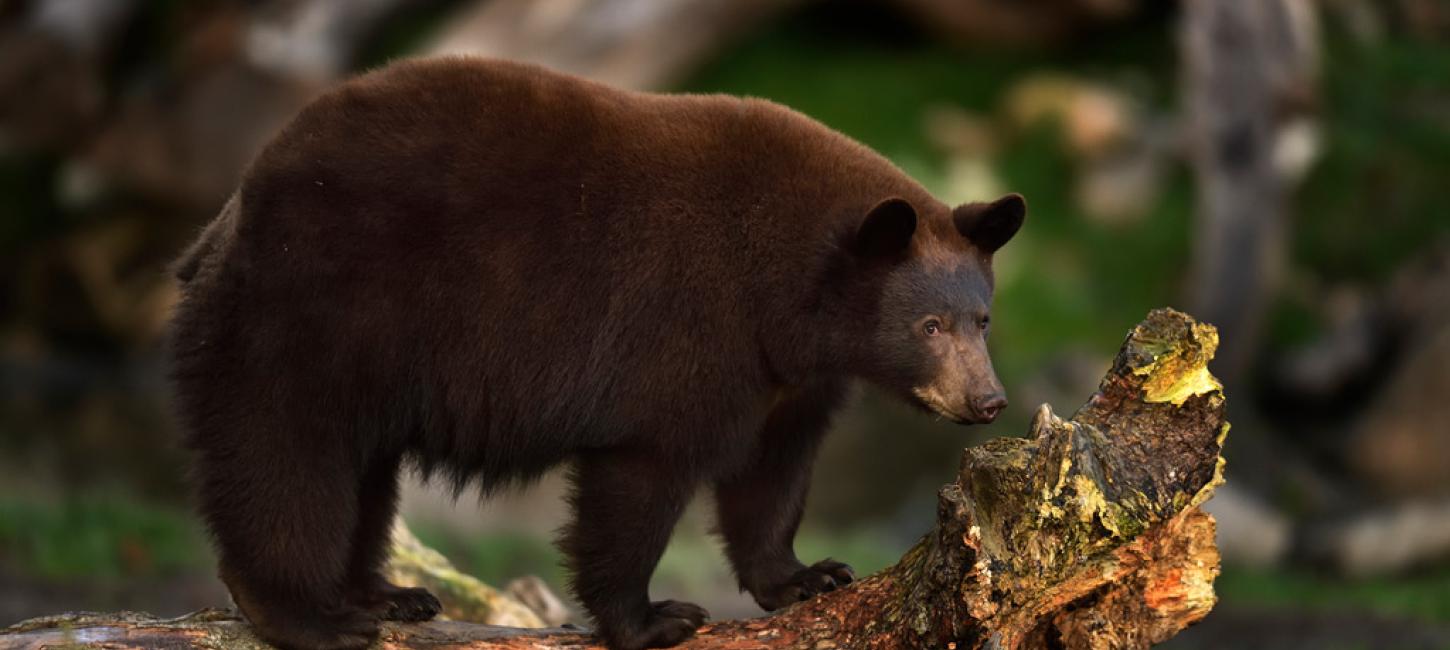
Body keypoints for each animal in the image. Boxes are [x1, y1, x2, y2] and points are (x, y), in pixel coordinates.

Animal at [169, 57, 1026, 650]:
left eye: (982, 319)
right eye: (929, 327)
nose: (988, 401)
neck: (790, 288)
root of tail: (228, 213)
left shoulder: (786, 375)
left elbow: (771, 470)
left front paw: (806, 576)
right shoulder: (688, 324)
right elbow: (644, 472)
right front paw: (655, 618)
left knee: (361, 469)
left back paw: (384, 596)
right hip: (313, 310)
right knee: (288, 455)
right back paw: (313, 616)